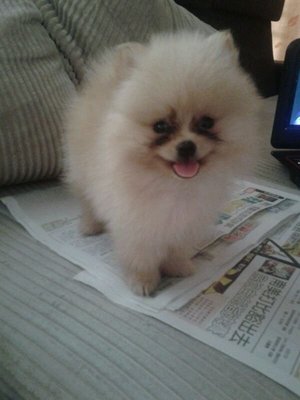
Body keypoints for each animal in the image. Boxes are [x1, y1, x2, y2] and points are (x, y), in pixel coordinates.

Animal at [63, 30, 260, 294]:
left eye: (206, 123)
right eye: (160, 126)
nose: (186, 146)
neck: (171, 184)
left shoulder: (184, 223)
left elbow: (176, 249)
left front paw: (177, 268)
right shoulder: (136, 224)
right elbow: (141, 256)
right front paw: (143, 281)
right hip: (81, 174)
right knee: (86, 201)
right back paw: (90, 225)